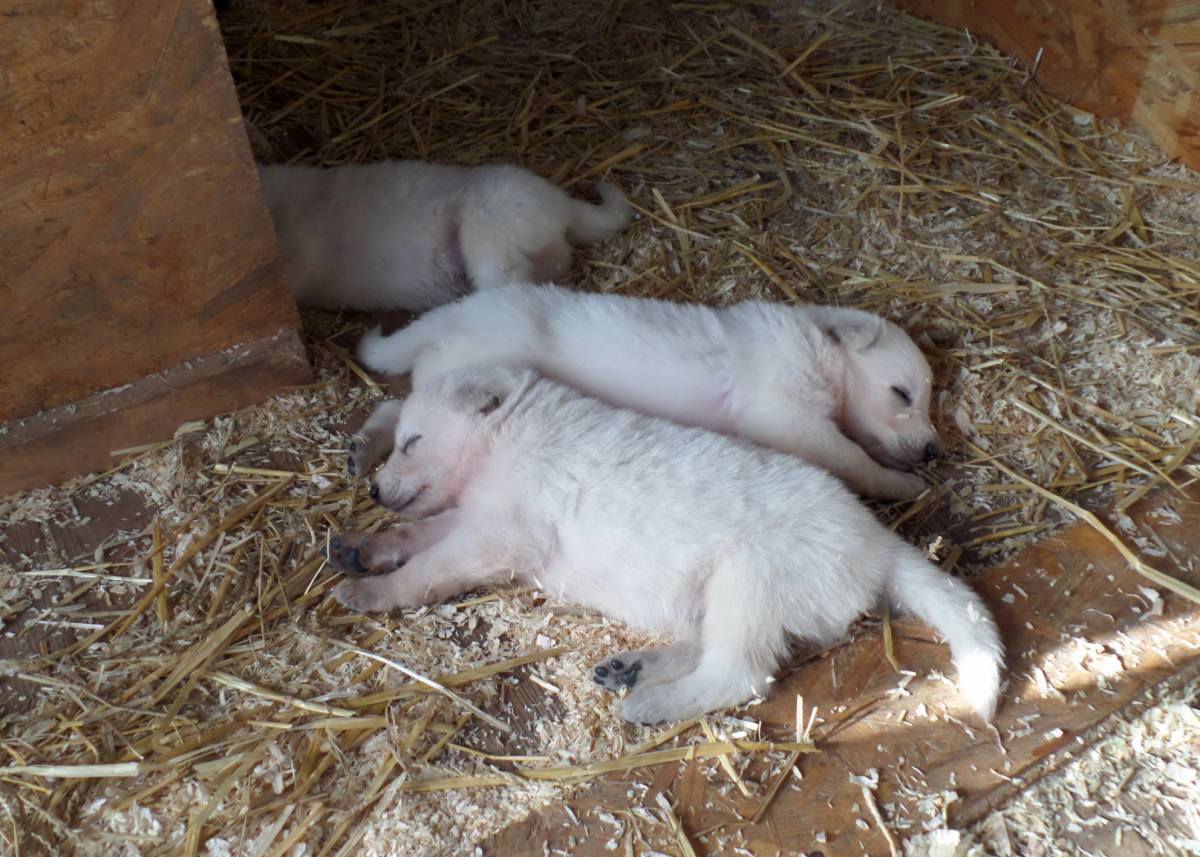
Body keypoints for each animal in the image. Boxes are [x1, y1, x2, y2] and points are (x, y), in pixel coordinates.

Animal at [328, 364, 1003, 720]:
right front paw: (360, 547)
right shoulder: (475, 517)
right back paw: (633, 669)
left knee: (739, 674)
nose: (376, 489)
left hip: (750, 578)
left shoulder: (501, 534)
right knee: (719, 648)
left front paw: (371, 591)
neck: (507, 436)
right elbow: (419, 533)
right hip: (729, 598)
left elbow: (429, 567)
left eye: (413, 441)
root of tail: (877, 543)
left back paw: (648, 704)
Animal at [355, 283, 936, 496]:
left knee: (396, 405)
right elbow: (853, 457)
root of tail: (448, 317)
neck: (817, 351)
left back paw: (359, 448)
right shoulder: (787, 418)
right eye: (901, 393)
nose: (933, 449)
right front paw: (903, 485)